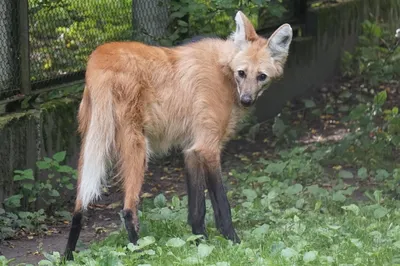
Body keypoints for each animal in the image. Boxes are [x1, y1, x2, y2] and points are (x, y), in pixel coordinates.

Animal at [63, 10, 294, 260]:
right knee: (127, 209)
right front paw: (234, 242)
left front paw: (200, 242)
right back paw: (140, 252)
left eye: (261, 76)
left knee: (79, 206)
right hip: (137, 147)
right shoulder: (208, 148)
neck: (224, 70)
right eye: (242, 73)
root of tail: (99, 58)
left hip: (91, 138)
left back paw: (68, 256)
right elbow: (222, 205)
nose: (246, 100)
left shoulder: (192, 149)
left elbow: (197, 208)